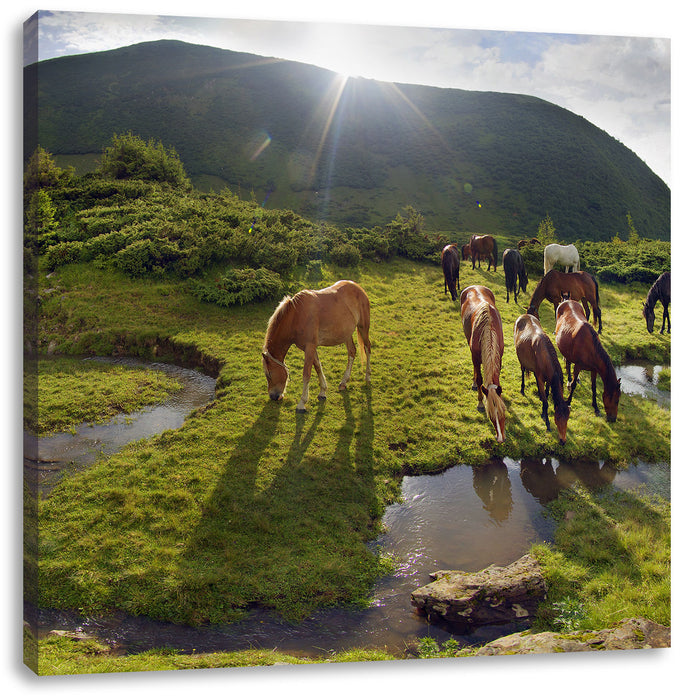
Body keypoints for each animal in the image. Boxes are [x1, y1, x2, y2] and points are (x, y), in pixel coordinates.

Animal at [262, 278, 370, 410]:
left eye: (269, 374)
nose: (273, 396)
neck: (296, 316)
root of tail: (358, 287)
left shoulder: (310, 347)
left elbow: (306, 374)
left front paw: (302, 403)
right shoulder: (309, 348)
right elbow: (318, 367)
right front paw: (323, 392)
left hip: (363, 328)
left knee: (368, 348)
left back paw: (367, 377)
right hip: (347, 334)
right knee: (352, 351)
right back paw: (344, 382)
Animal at [460, 282, 508, 440]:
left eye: (503, 413)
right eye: (491, 416)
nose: (500, 439)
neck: (488, 328)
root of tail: (474, 285)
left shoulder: (499, 358)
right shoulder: (475, 357)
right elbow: (480, 379)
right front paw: (480, 402)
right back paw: (474, 383)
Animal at [516, 316, 568, 446]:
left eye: (568, 418)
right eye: (557, 418)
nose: (563, 441)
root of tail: (524, 315)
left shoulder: (548, 378)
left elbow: (547, 393)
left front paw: (543, 408)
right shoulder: (540, 378)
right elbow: (546, 402)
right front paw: (547, 422)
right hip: (522, 361)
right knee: (523, 371)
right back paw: (522, 388)